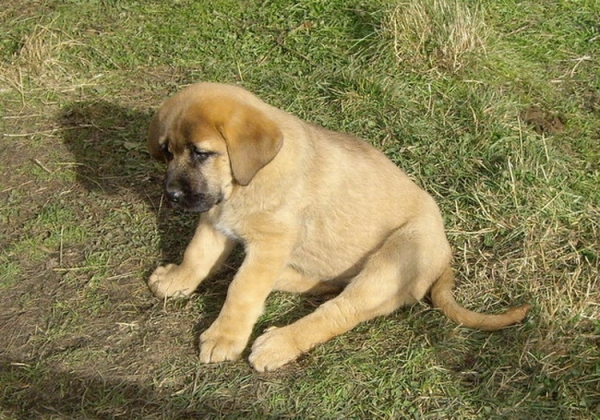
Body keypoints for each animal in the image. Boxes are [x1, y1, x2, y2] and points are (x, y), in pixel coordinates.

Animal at [146, 82, 528, 370]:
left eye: (200, 153)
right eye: (168, 152)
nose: (172, 195)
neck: (245, 183)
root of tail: (445, 255)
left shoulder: (270, 242)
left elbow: (242, 289)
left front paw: (225, 336)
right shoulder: (214, 218)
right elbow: (197, 254)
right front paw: (178, 279)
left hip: (392, 260)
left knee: (337, 312)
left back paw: (279, 343)